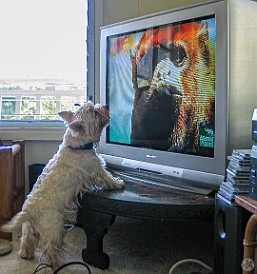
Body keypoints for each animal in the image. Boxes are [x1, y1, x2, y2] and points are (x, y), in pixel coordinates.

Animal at [1, 100, 124, 268]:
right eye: (94, 112)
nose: (105, 106)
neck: (77, 146)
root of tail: (29, 210)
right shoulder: (96, 170)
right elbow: (108, 178)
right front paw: (119, 184)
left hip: (28, 229)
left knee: (26, 241)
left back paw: (26, 255)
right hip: (56, 227)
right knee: (51, 248)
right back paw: (57, 263)